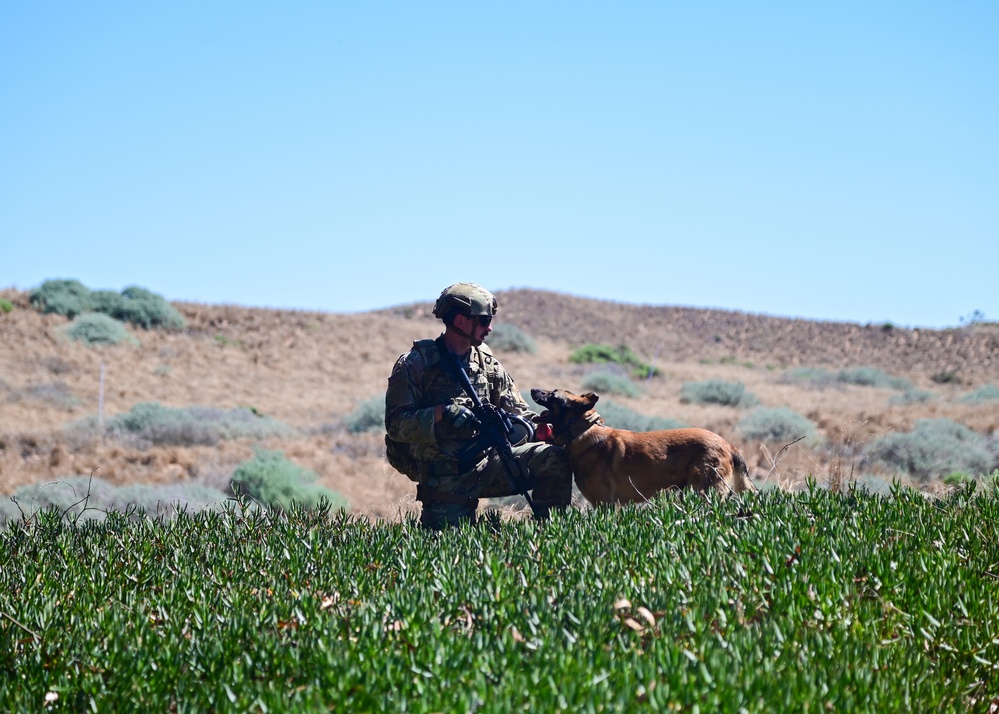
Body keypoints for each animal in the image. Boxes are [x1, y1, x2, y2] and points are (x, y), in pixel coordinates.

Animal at [532, 390, 752, 500]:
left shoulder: (605, 503)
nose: (533, 389)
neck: (580, 431)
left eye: (552, 395)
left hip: (703, 493)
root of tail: (729, 445)